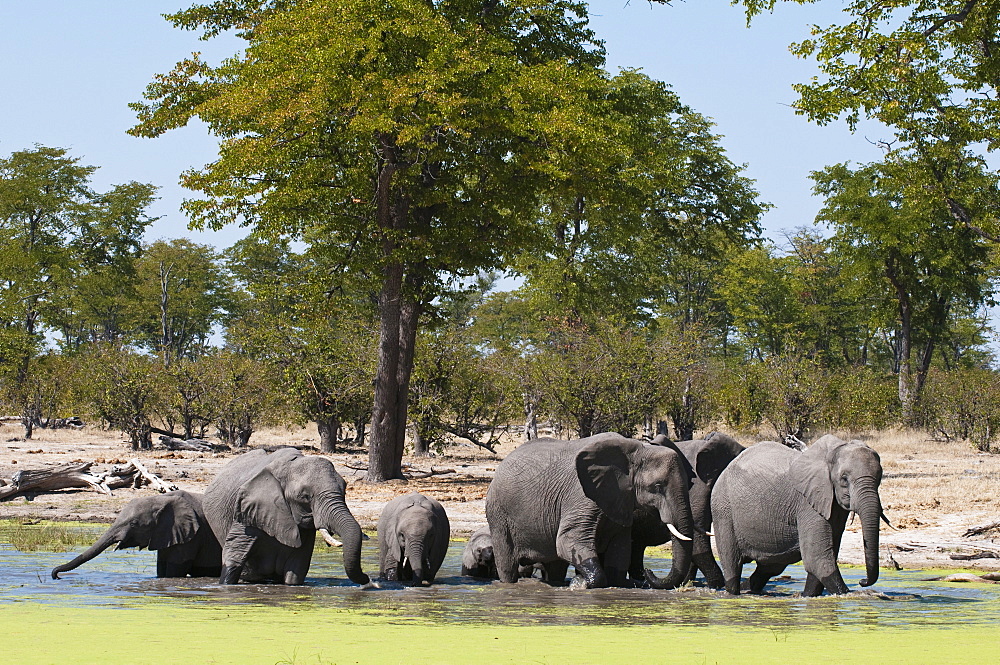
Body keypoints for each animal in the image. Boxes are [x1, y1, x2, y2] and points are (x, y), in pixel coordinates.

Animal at [51, 490, 223, 580]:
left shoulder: (192, 536)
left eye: (133, 523)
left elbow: (174, 571)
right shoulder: (168, 533)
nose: (56, 576)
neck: (162, 499)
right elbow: (161, 568)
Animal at [201, 448, 370, 584]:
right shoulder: (246, 510)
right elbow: (234, 555)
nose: (368, 578)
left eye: (345, 490)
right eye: (304, 496)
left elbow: (297, 568)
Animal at [486, 430, 696, 588]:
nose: (648, 571)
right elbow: (568, 541)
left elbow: (619, 551)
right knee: (507, 566)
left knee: (555, 568)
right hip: (498, 515)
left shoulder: (619, 500)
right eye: (658, 486)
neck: (636, 449)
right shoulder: (581, 496)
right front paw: (581, 583)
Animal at [712, 434, 884, 592]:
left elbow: (823, 557)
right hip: (723, 508)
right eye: (844, 479)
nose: (862, 581)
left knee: (770, 567)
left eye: (879, 477)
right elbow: (817, 559)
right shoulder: (807, 502)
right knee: (733, 565)